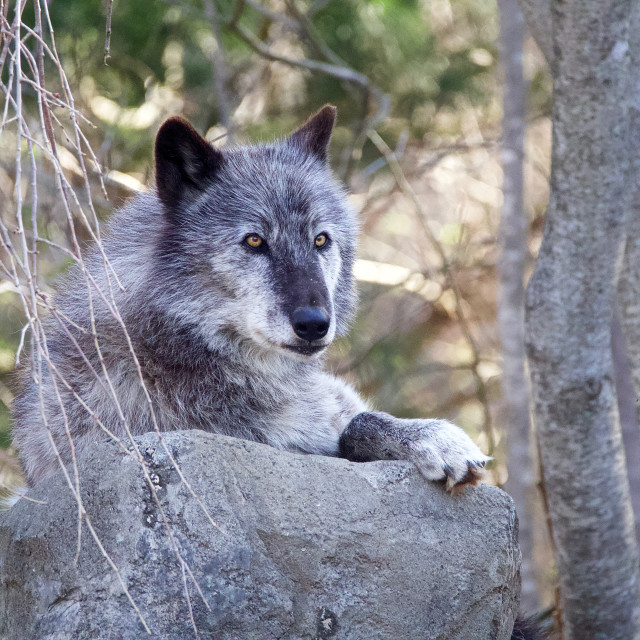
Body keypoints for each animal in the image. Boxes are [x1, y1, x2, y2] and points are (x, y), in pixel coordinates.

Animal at [10, 105, 490, 488]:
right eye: (255, 241)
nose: (315, 324)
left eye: (320, 240)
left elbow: (358, 421)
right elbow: (343, 433)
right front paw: (434, 439)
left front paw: (430, 436)